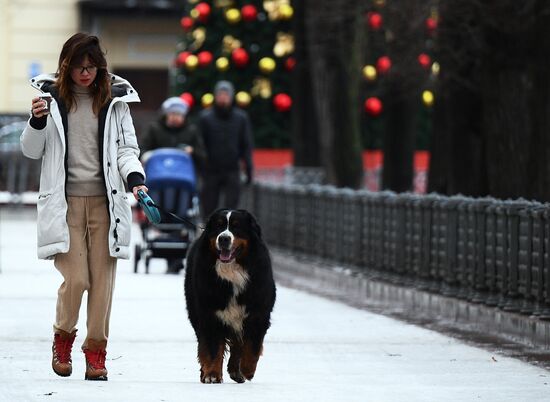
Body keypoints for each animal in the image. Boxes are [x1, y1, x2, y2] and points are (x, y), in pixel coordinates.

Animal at [185, 207, 278, 384]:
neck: (232, 271)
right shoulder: (211, 314)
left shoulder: (257, 313)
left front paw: (247, 369)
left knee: (238, 344)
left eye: (236, 227)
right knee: (204, 343)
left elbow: (251, 346)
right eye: (218, 226)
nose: (224, 238)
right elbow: (213, 348)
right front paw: (212, 374)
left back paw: (237, 371)